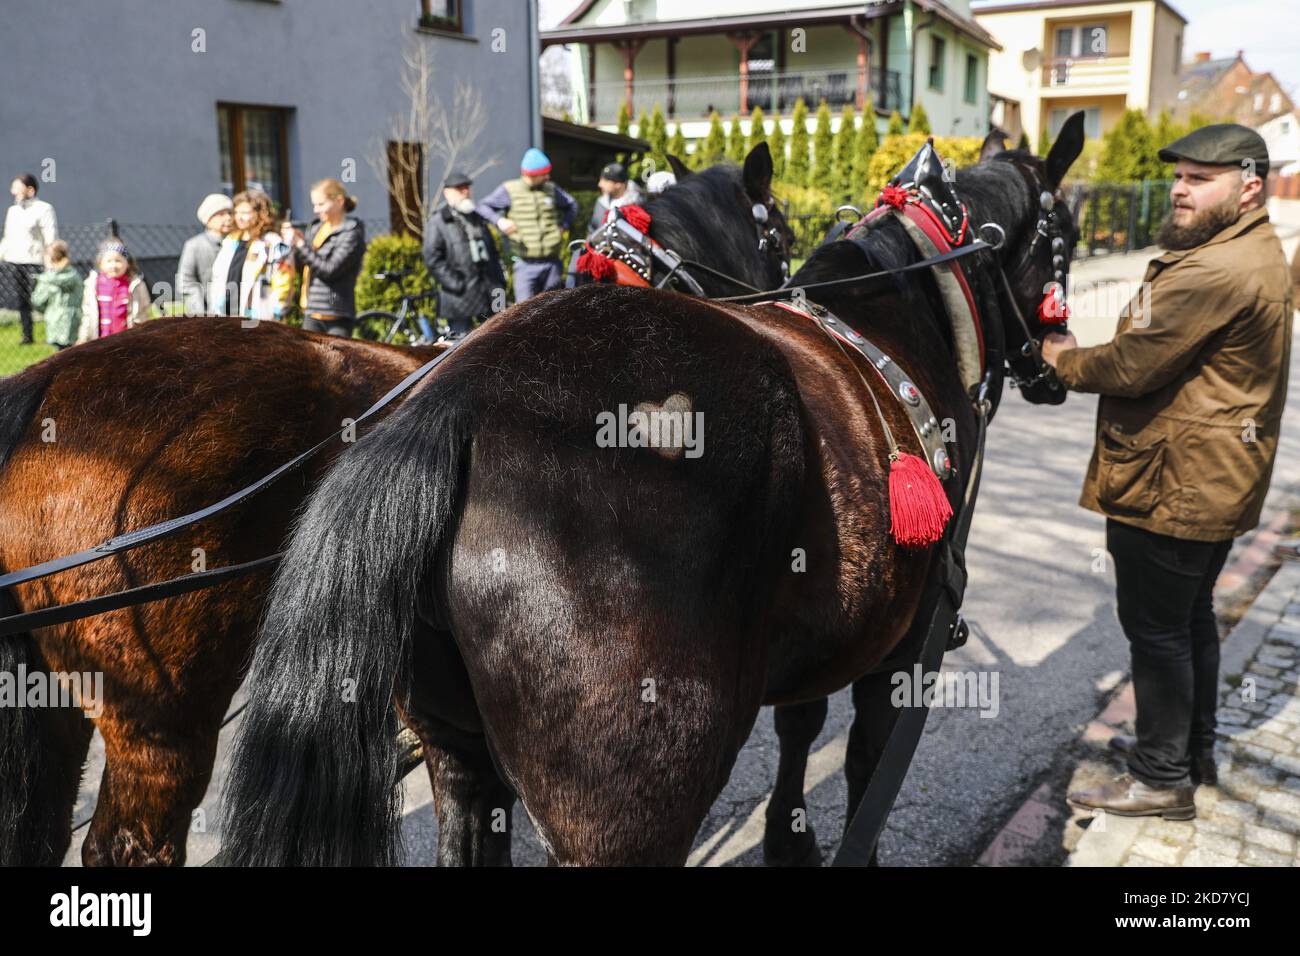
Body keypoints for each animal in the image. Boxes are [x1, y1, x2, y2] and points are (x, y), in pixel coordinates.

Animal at [219, 118, 1086, 866]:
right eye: (1067, 240)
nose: (1056, 365)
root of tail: (455, 403)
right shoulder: (900, 650)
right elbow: (865, 767)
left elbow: (801, 723)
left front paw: (789, 833)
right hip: (629, 804)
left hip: (458, 750)